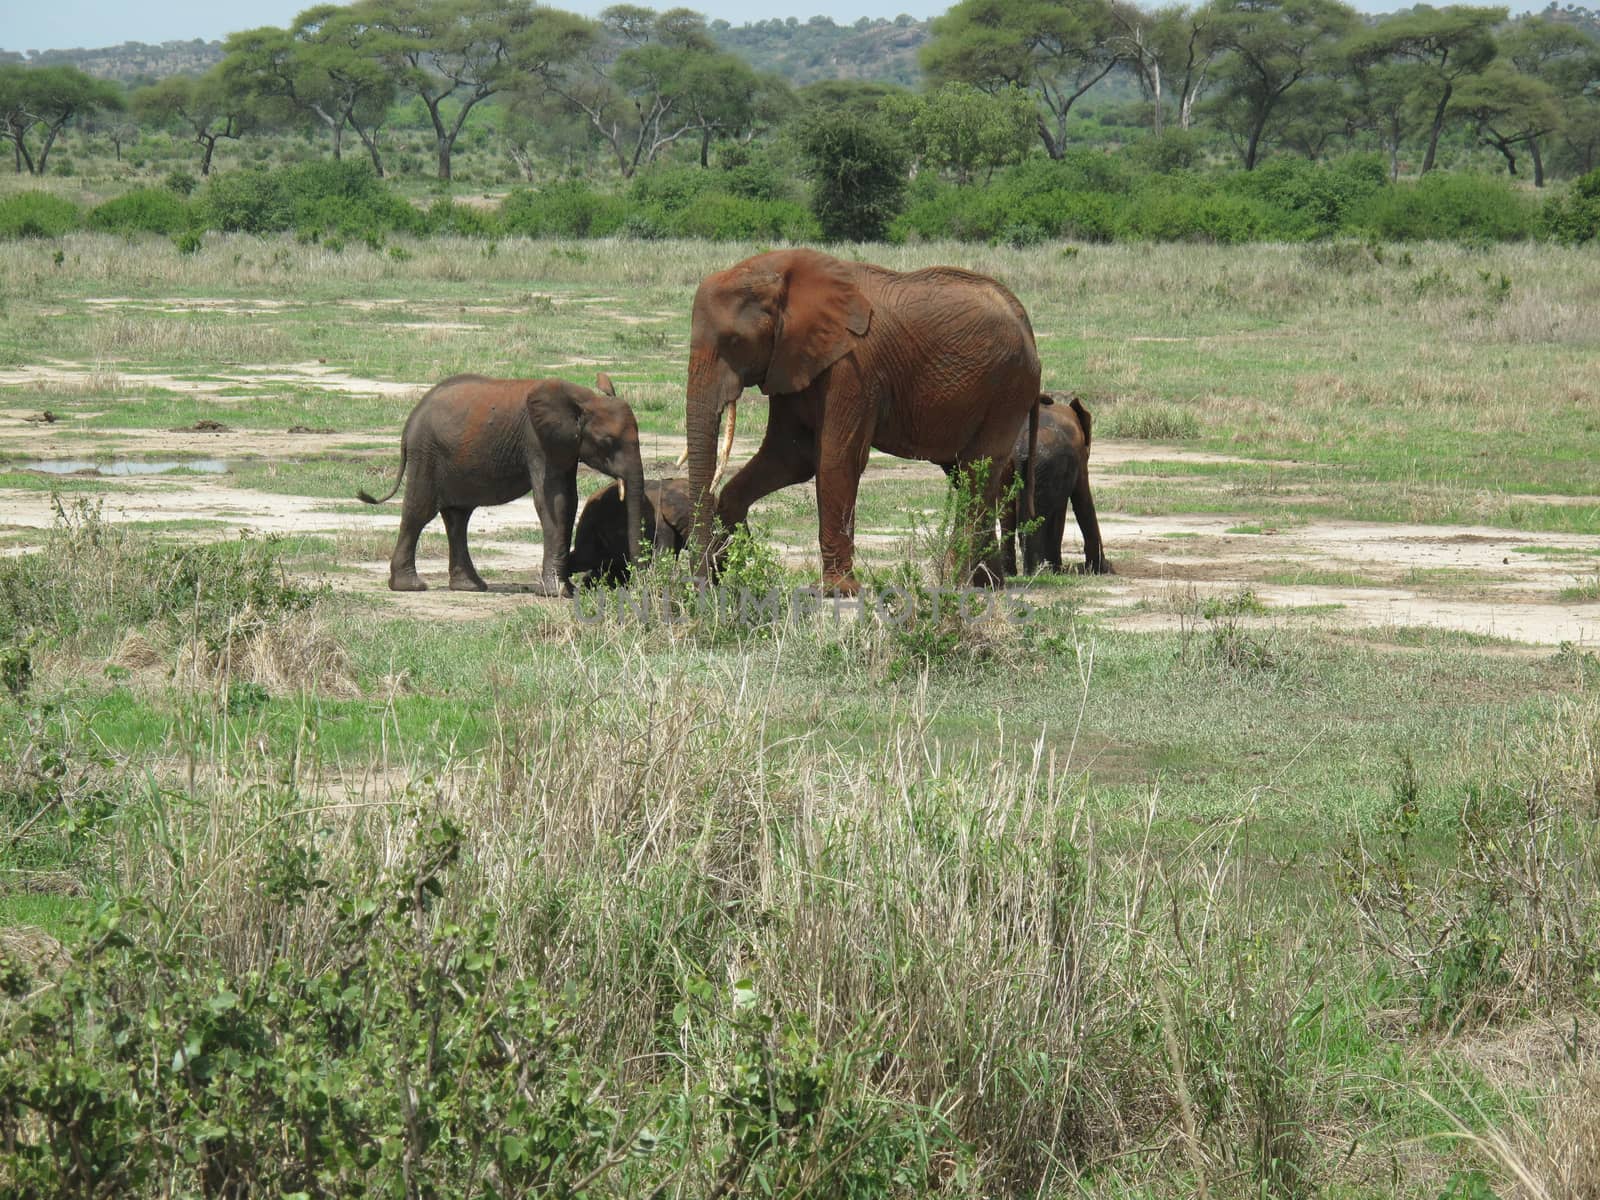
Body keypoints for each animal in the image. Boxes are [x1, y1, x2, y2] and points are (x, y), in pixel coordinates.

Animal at [358, 371, 643, 598]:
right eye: (607, 442)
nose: (637, 583)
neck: (584, 399)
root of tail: (412, 418)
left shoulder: (564, 446)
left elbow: (568, 499)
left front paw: (565, 590)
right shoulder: (537, 440)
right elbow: (554, 500)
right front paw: (558, 593)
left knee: (458, 517)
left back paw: (470, 586)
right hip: (426, 453)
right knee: (420, 511)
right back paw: (410, 587)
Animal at [681, 249, 1043, 598]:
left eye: (734, 342)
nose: (704, 587)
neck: (782, 273)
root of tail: (1023, 317)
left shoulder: (853, 367)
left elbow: (836, 460)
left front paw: (836, 591)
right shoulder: (791, 360)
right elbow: (788, 458)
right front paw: (729, 560)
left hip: (1008, 386)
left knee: (976, 471)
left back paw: (957, 582)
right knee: (970, 474)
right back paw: (988, 584)